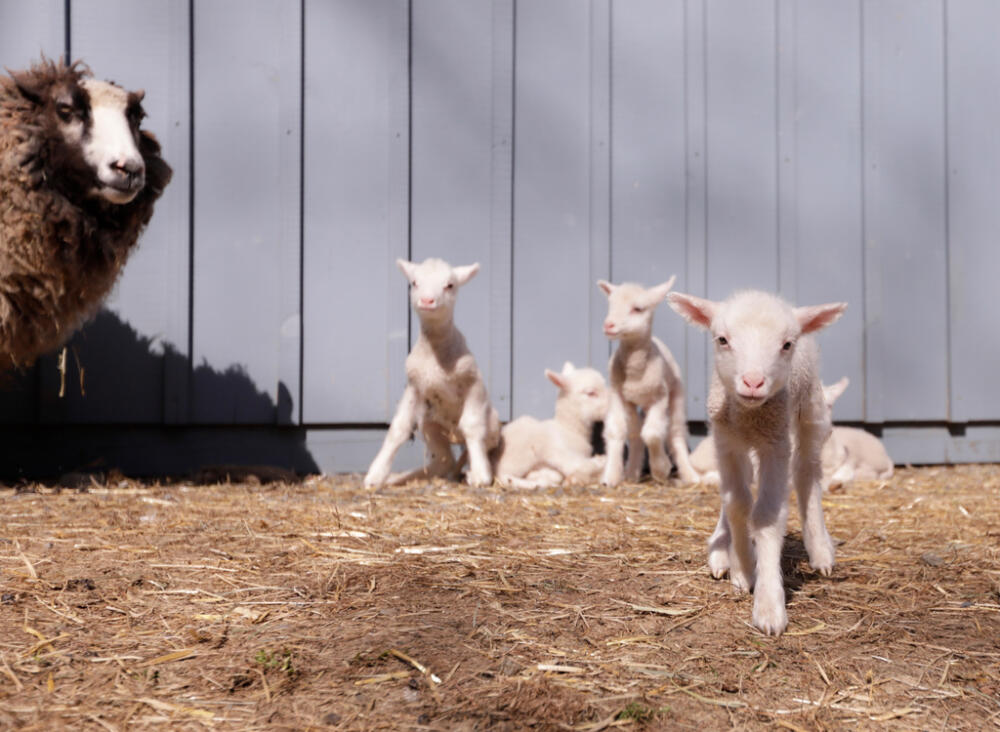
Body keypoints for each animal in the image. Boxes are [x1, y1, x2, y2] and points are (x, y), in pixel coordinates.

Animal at [364, 258, 501, 488]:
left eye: (450, 285)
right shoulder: (414, 386)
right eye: (414, 283)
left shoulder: (473, 383)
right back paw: (402, 477)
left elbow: (472, 426)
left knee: (471, 447)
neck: (435, 356)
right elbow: (398, 428)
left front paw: (482, 476)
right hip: (430, 426)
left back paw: (473, 470)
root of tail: (455, 436)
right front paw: (375, 475)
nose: (427, 301)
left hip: (492, 429)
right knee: (444, 461)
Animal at [597, 276, 699, 486]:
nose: (609, 325)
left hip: (676, 393)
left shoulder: (660, 396)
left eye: (637, 308)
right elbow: (618, 431)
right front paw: (610, 476)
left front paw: (661, 469)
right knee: (635, 434)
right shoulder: (619, 395)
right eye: (611, 305)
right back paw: (632, 473)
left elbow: (651, 433)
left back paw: (690, 475)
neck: (636, 373)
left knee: (675, 432)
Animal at [668, 289, 846, 635]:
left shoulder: (775, 445)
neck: (750, 415)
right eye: (722, 339)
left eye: (786, 344)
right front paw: (743, 568)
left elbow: (766, 515)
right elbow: (737, 503)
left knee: (806, 472)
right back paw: (721, 549)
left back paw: (820, 551)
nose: (753, 382)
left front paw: (768, 605)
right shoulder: (726, 441)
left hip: (810, 411)